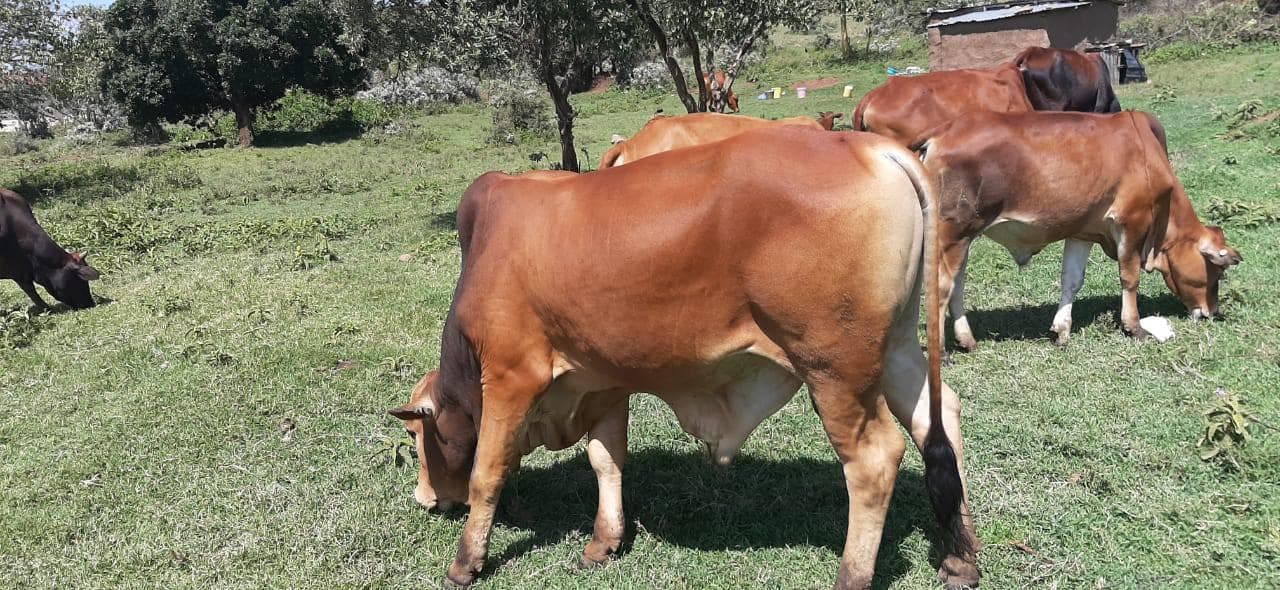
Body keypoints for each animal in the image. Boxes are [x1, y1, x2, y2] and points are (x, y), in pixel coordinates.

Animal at [389, 127, 981, 589]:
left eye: (416, 435)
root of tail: (867, 146)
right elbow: (606, 460)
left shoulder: (513, 375)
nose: (425, 499)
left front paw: (466, 562)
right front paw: (603, 542)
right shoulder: (603, 381)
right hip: (896, 347)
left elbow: (487, 472)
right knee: (938, 421)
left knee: (875, 459)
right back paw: (960, 558)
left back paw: (853, 575)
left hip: (835, 367)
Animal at [914, 111, 1240, 350]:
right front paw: (1134, 327)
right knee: (942, 286)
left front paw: (1061, 329)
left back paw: (967, 341)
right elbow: (1130, 278)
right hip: (954, 233)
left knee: (957, 285)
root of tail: (940, 134)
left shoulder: (1082, 232)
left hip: (963, 237)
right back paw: (942, 351)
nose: (1211, 311)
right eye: (1217, 272)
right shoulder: (1131, 223)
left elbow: (1071, 280)